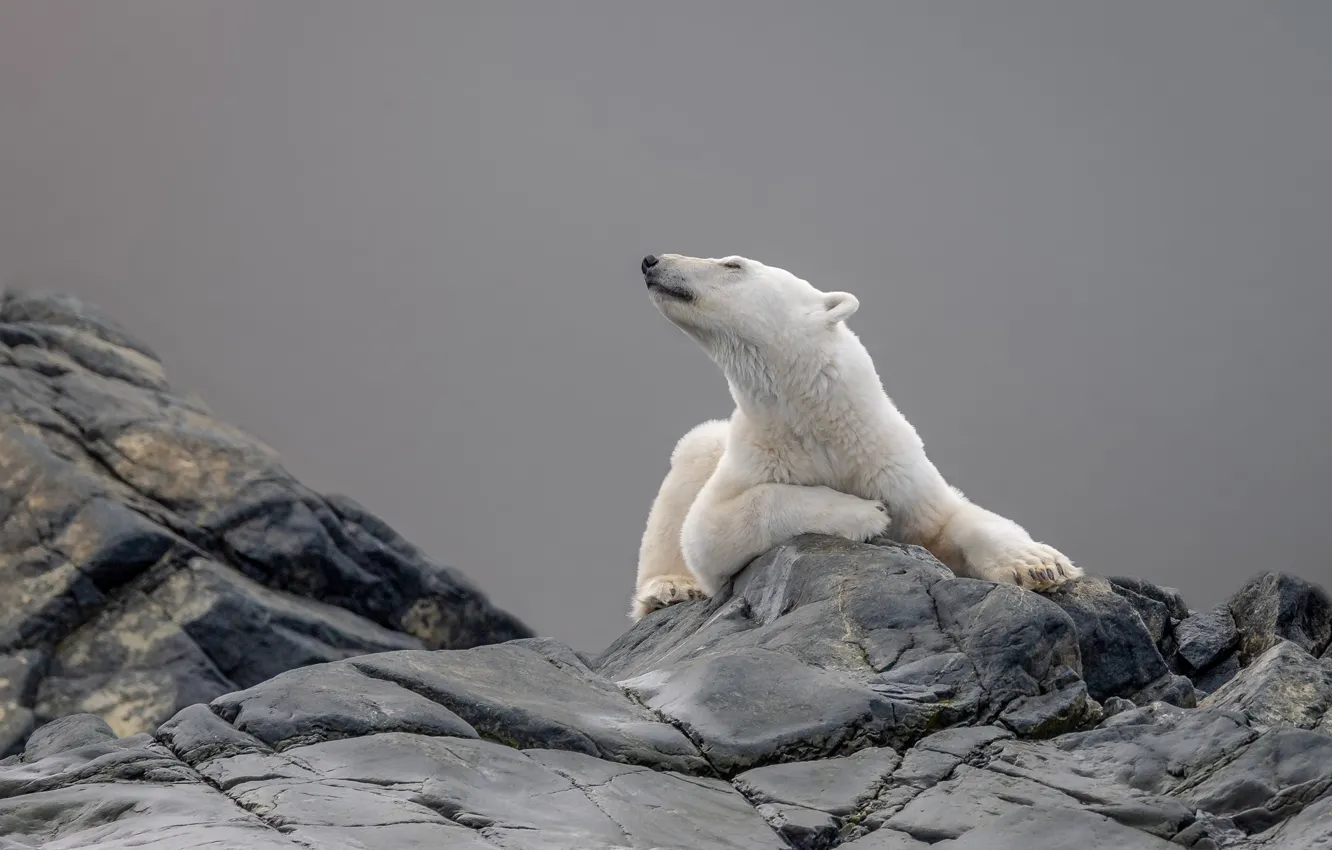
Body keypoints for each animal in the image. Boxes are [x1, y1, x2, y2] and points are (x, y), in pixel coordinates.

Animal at [630, 252, 1082, 621]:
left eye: (732, 265)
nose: (652, 261)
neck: (820, 419)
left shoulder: (891, 461)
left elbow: (951, 518)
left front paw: (1038, 564)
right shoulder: (758, 455)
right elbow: (709, 528)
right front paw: (866, 513)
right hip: (705, 447)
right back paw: (670, 587)